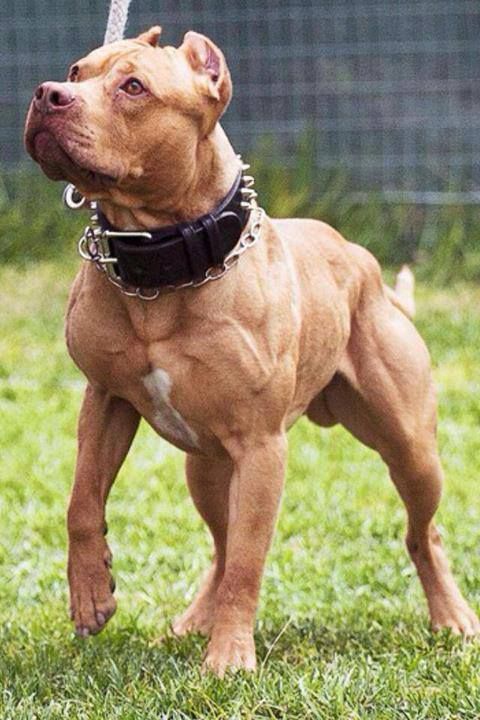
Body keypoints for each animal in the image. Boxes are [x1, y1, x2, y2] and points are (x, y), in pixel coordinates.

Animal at [24, 26, 478, 676]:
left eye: (133, 87)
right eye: (75, 71)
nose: (47, 94)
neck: (165, 267)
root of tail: (360, 259)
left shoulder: (262, 449)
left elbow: (247, 562)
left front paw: (230, 659)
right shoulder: (106, 400)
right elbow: (82, 502)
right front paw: (90, 594)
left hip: (411, 449)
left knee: (423, 533)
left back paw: (451, 616)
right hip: (207, 468)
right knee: (219, 543)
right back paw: (193, 621)